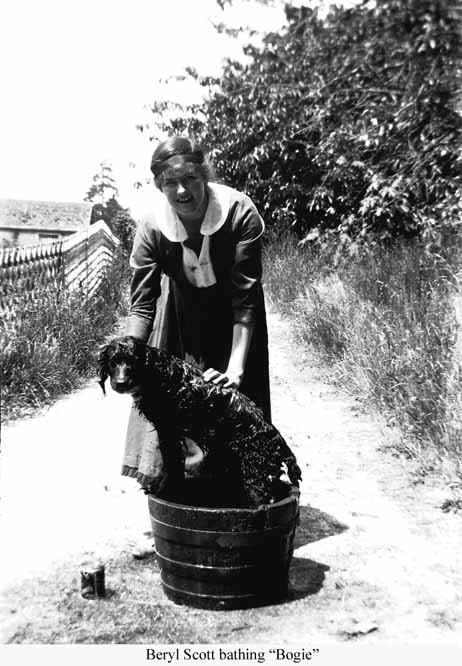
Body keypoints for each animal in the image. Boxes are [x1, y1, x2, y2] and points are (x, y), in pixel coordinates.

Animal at [98, 336, 302, 508]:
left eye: (133, 362)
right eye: (113, 362)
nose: (121, 383)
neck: (160, 373)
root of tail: (275, 436)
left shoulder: (169, 430)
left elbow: (172, 465)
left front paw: (164, 489)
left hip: (255, 476)